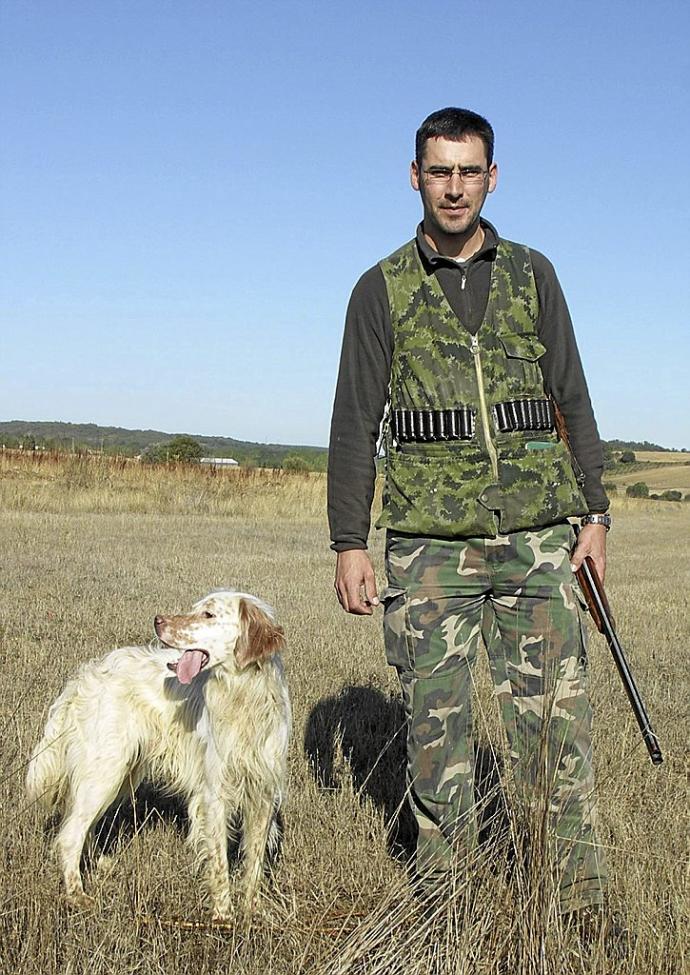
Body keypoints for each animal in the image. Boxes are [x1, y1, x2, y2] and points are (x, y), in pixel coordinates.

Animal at [26, 592, 290, 920]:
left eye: (208, 614)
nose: (158, 620)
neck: (243, 697)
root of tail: (86, 675)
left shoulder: (263, 793)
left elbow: (254, 859)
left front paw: (252, 910)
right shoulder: (215, 794)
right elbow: (219, 861)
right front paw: (223, 916)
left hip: (119, 775)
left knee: (80, 825)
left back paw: (100, 864)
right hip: (105, 771)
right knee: (70, 834)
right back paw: (77, 894)